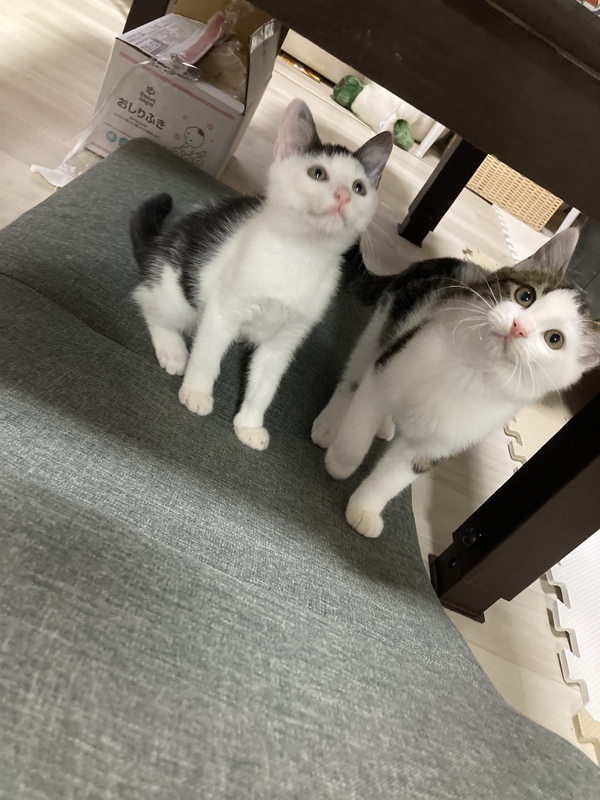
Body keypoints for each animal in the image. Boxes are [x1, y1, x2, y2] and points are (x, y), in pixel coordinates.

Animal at [130, 98, 392, 450]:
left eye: (359, 188)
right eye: (318, 173)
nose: (344, 196)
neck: (301, 253)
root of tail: (161, 246)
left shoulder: (286, 339)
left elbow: (266, 384)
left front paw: (250, 424)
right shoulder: (224, 310)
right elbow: (208, 357)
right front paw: (197, 392)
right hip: (178, 292)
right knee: (149, 301)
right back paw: (172, 349)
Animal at [312, 229, 600, 538]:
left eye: (554, 339)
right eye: (525, 296)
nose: (518, 328)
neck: (472, 370)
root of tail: (448, 261)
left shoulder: (440, 443)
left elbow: (394, 477)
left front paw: (365, 509)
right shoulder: (389, 368)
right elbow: (357, 427)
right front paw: (340, 463)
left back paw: (385, 425)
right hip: (387, 317)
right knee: (357, 371)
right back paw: (331, 423)